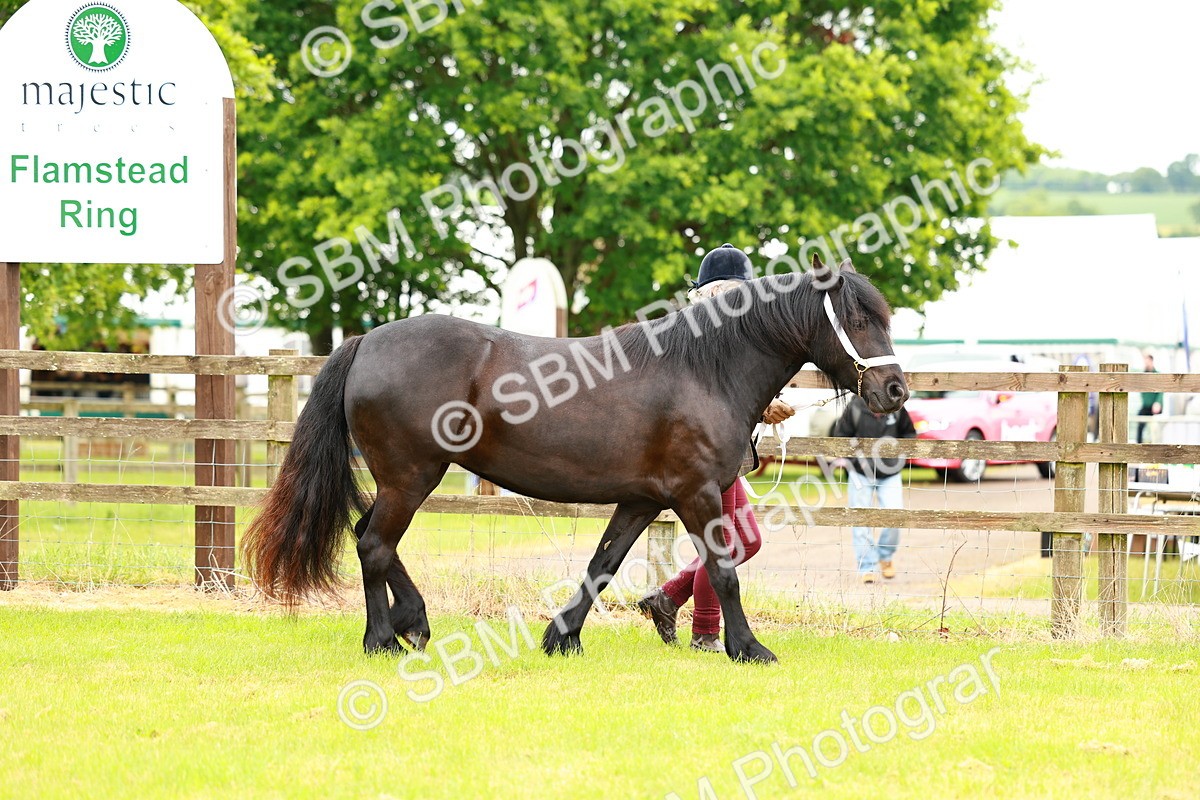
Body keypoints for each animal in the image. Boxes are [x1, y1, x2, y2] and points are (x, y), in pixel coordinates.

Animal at [242, 255, 909, 663]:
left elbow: (602, 565)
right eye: (856, 317)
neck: (703, 369)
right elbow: (724, 571)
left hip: (403, 480)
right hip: (412, 477)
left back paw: (414, 622)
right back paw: (383, 638)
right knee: (374, 544)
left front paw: (561, 638)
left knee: (369, 537)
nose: (896, 390)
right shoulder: (695, 495)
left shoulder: (642, 499)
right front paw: (749, 649)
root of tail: (365, 343)